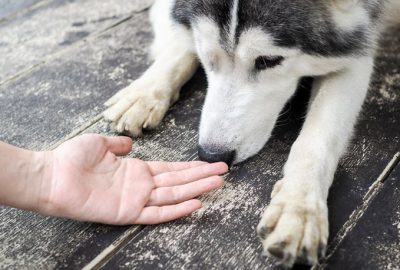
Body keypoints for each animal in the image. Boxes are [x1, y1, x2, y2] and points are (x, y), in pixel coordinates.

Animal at [104, 0, 400, 266]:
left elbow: (318, 138)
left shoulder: (355, 48)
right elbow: (179, 44)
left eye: (268, 60)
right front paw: (144, 92)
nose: (212, 155)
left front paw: (298, 206)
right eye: (207, 55)